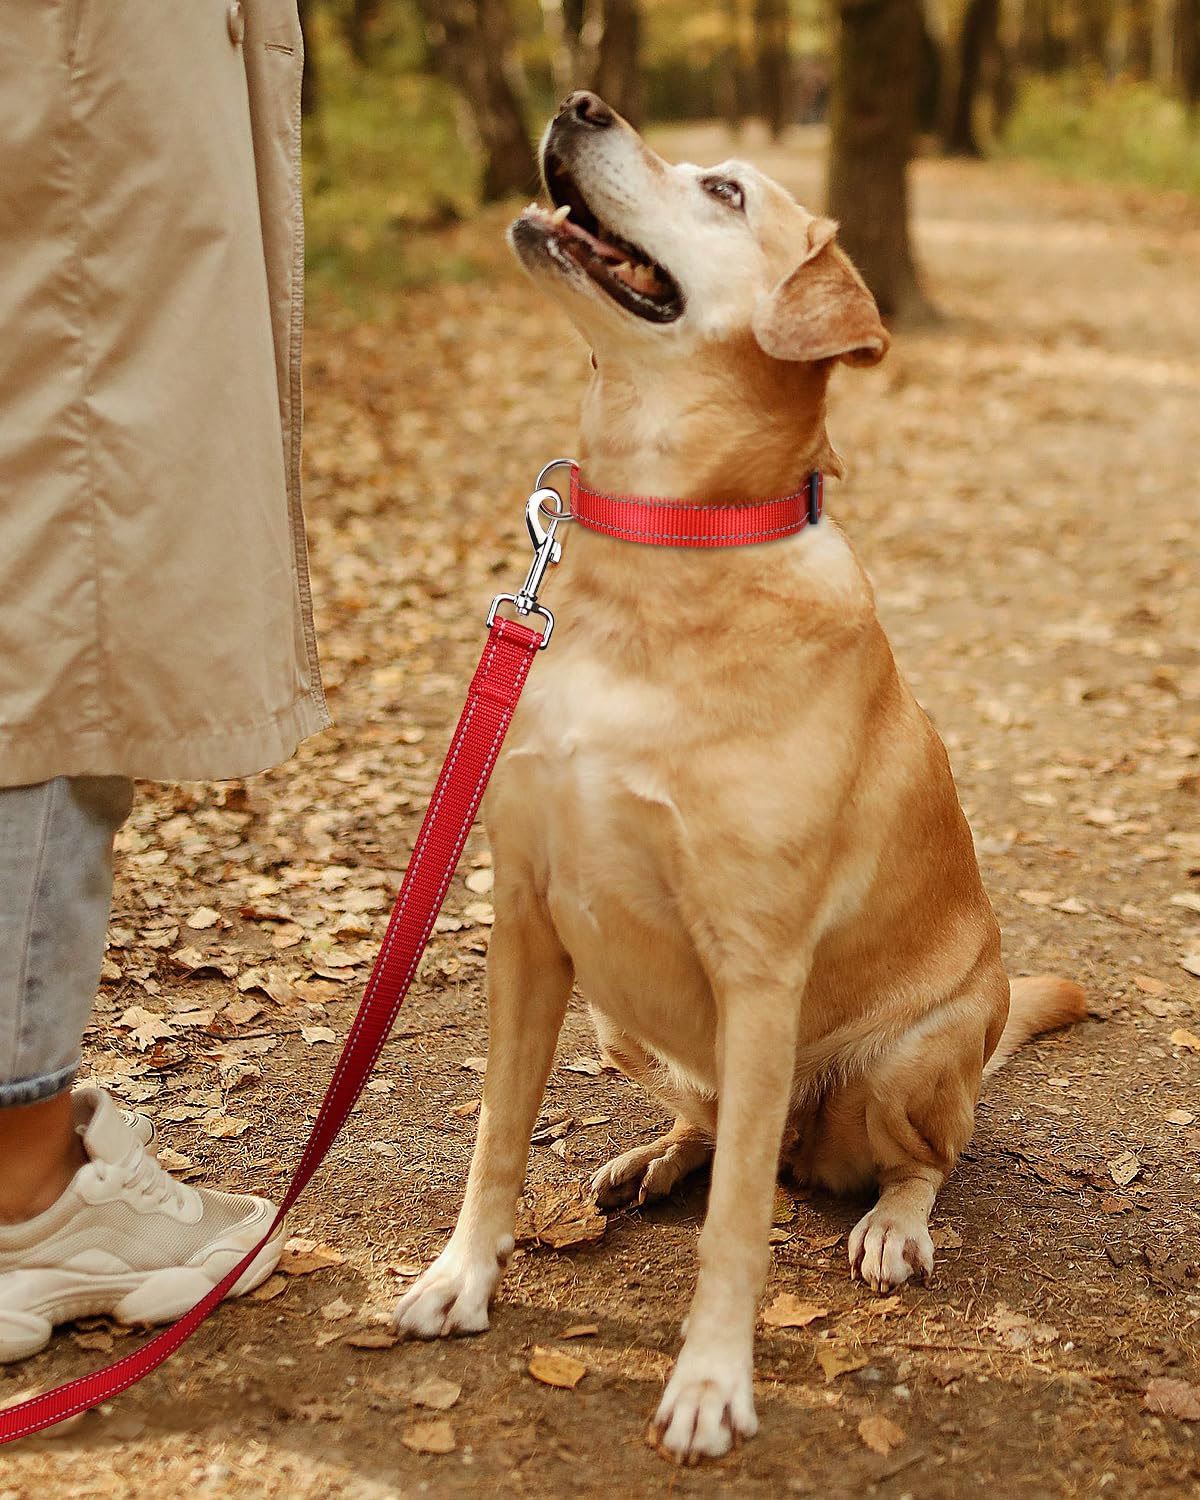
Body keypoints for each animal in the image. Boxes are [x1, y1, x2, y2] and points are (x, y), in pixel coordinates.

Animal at [393, 87, 1086, 1458]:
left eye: (724, 191)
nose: (580, 99)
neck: (661, 551)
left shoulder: (759, 970)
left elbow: (738, 1235)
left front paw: (713, 1381)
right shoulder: (529, 925)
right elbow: (496, 1133)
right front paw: (463, 1275)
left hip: (901, 1062)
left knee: (915, 1158)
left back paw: (890, 1221)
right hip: (618, 1016)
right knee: (714, 1127)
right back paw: (650, 1160)